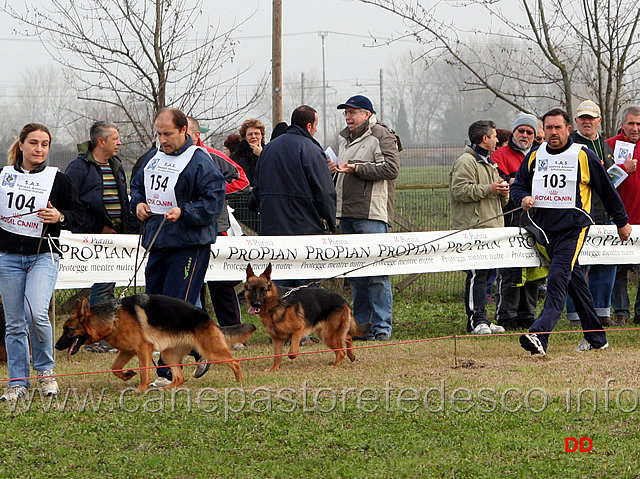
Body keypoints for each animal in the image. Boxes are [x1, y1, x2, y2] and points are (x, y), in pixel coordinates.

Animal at [54, 294, 255, 392]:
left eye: (68, 329)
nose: (56, 346)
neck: (113, 318)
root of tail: (208, 318)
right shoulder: (127, 351)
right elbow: (115, 368)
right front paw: (127, 375)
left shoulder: (143, 350)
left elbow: (144, 373)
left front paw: (140, 389)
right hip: (168, 355)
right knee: (179, 377)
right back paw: (167, 388)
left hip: (211, 350)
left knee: (235, 361)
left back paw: (240, 382)